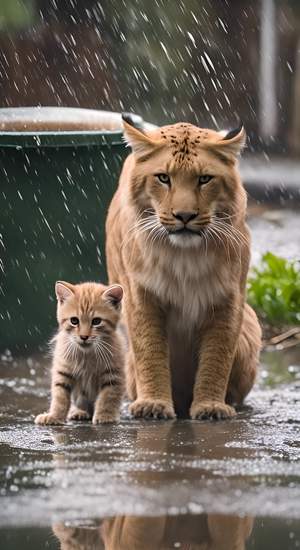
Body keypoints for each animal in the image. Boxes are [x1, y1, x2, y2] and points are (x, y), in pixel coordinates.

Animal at [35, 280, 125, 426]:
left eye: (96, 321)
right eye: (74, 321)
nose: (84, 336)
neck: (87, 354)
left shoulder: (114, 374)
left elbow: (108, 397)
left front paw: (105, 416)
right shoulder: (63, 370)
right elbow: (60, 396)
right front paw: (54, 416)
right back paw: (79, 412)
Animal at [105, 115, 260, 418]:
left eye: (204, 179)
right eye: (163, 178)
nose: (185, 216)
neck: (184, 256)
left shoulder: (228, 298)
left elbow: (217, 355)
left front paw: (211, 406)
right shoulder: (140, 295)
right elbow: (150, 351)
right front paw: (153, 404)